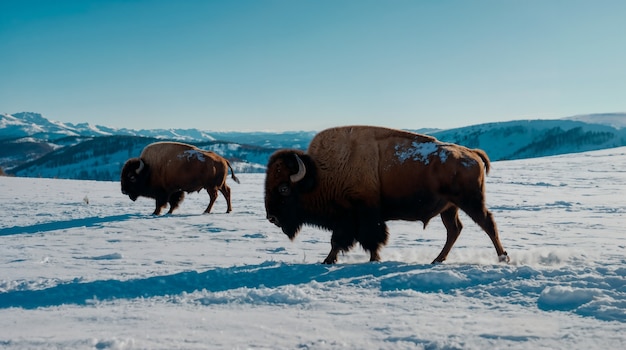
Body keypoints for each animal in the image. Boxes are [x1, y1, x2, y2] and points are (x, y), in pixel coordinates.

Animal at [264, 124, 508, 264]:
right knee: (454, 230)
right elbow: (344, 241)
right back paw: (437, 260)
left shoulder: (360, 215)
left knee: (487, 223)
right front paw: (332, 260)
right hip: (449, 208)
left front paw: (335, 260)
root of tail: (472, 153)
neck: (319, 174)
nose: (271, 217)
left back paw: (503, 257)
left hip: (470, 202)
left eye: (284, 188)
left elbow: (355, 239)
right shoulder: (349, 219)